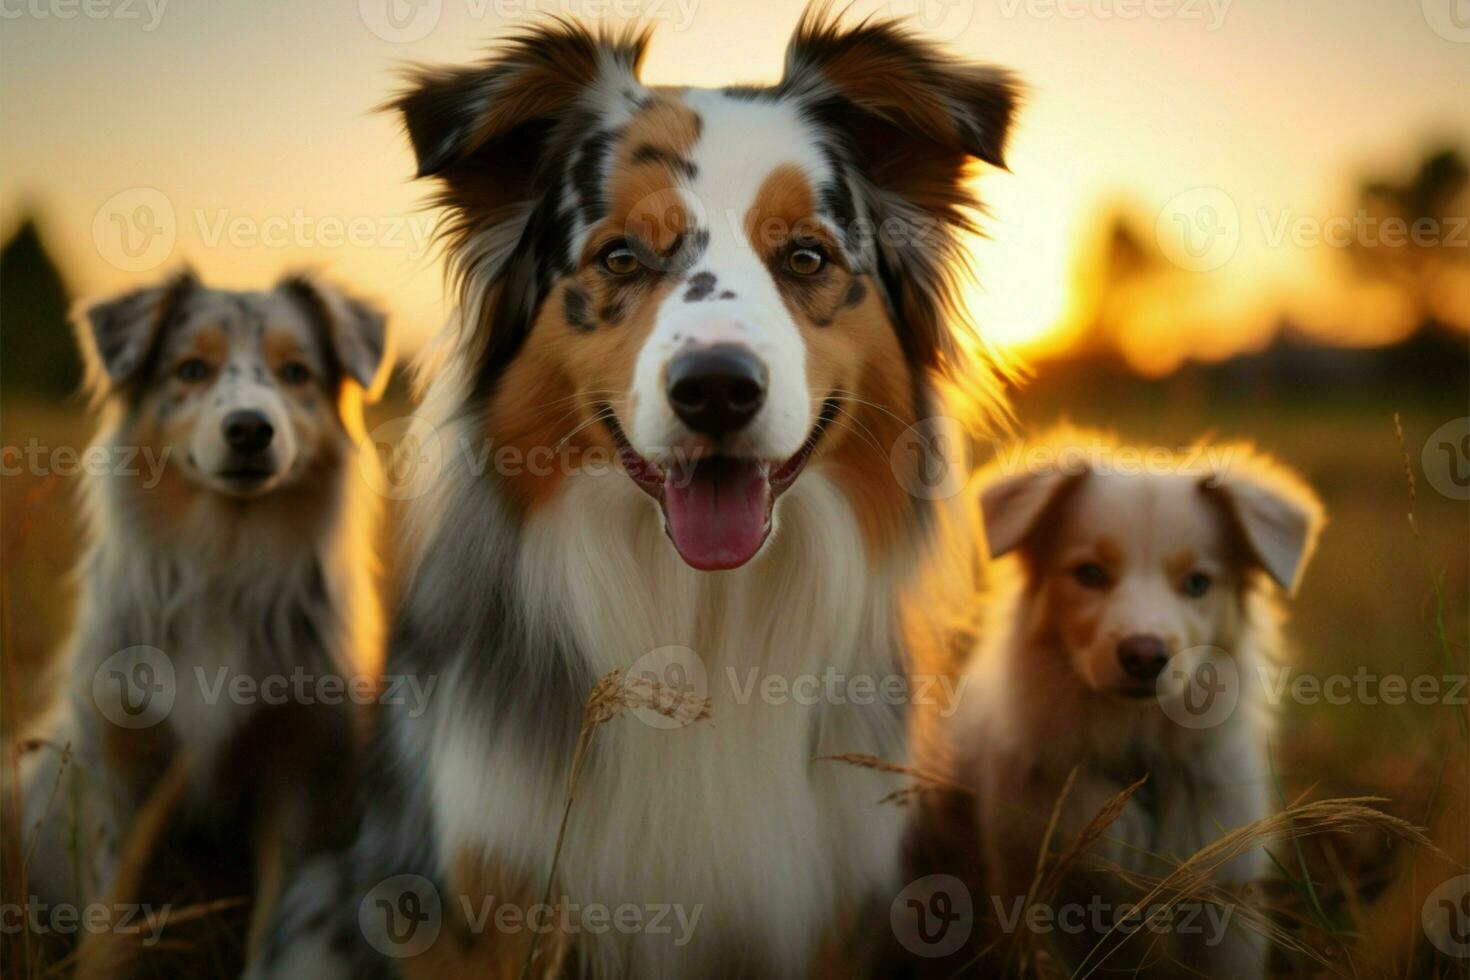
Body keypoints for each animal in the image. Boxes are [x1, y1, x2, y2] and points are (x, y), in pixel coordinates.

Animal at [22, 270, 391, 975]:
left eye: (296, 372)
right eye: (191, 369)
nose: (249, 429)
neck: (225, 557)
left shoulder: (301, 769)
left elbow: (274, 923)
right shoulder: (119, 767)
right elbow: (111, 914)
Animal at [258, 9, 1017, 980]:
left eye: (805, 255)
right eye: (620, 255)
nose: (718, 389)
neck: (703, 616)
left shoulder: (830, 907)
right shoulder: (484, 898)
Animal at [946, 434, 1328, 980]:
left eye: (1197, 583)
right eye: (1089, 574)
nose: (1144, 656)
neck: (1137, 759)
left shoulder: (1225, 898)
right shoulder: (1036, 889)